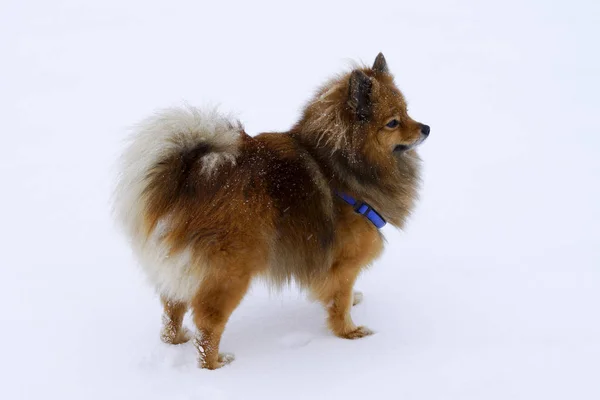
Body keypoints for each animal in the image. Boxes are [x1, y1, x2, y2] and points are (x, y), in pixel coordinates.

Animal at [113, 53, 426, 368]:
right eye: (393, 122)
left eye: (407, 112)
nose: (426, 128)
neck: (342, 165)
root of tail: (191, 178)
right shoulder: (342, 264)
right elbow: (339, 303)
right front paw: (350, 333)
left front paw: (355, 302)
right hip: (231, 273)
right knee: (207, 323)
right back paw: (214, 363)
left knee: (172, 310)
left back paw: (175, 339)